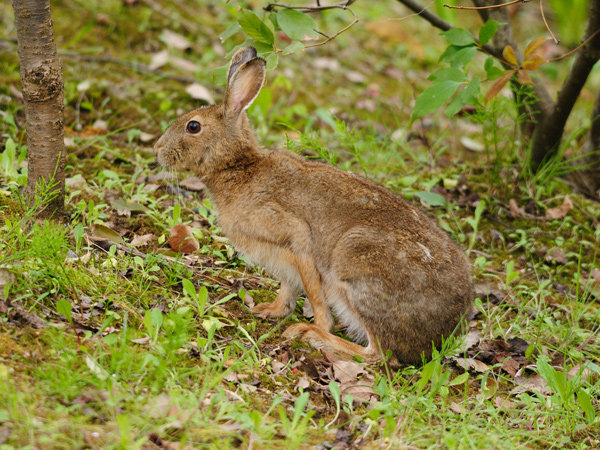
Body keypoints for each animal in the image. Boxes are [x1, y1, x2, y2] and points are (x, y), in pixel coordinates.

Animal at [155, 47, 474, 364]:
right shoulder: (285, 261)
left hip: (354, 262)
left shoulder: (295, 236)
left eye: (193, 126)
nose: (158, 149)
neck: (239, 167)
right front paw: (270, 310)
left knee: (377, 355)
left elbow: (314, 292)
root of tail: (441, 335)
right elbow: (289, 288)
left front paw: (315, 326)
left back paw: (314, 336)